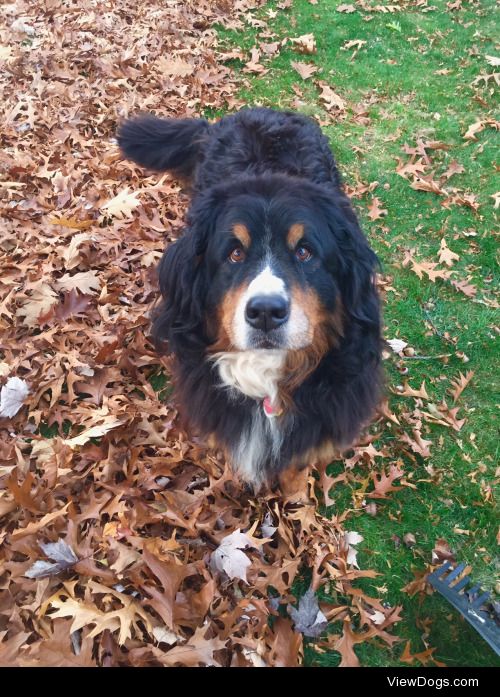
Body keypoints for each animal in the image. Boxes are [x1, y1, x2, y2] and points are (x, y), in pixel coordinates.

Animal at [118, 107, 382, 494]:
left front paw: (294, 492)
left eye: (305, 252)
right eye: (234, 253)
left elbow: (297, 463)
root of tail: (259, 111)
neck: (268, 377)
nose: (266, 312)